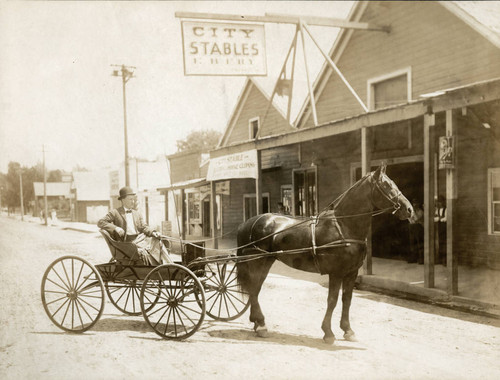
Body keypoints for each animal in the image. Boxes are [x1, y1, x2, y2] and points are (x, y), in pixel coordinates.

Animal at [236, 164, 412, 344]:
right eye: (387, 185)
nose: (409, 209)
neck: (344, 226)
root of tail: (248, 223)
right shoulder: (336, 273)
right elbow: (332, 301)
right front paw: (328, 332)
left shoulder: (352, 273)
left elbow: (347, 300)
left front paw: (348, 330)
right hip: (258, 261)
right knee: (253, 289)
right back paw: (261, 325)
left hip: (266, 262)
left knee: (255, 289)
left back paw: (258, 323)